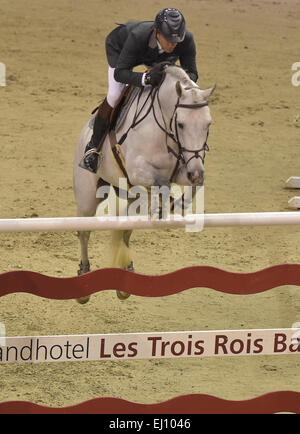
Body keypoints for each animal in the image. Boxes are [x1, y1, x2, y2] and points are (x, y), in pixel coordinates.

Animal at [72, 63, 213, 302]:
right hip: (87, 198)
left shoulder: (185, 169)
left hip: (130, 197)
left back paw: (125, 273)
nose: (195, 172)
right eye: (181, 124)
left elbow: (193, 187)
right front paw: (164, 204)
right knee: (84, 232)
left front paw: (176, 204)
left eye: (208, 125)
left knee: (126, 229)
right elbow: (161, 183)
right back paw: (84, 276)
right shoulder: (138, 170)